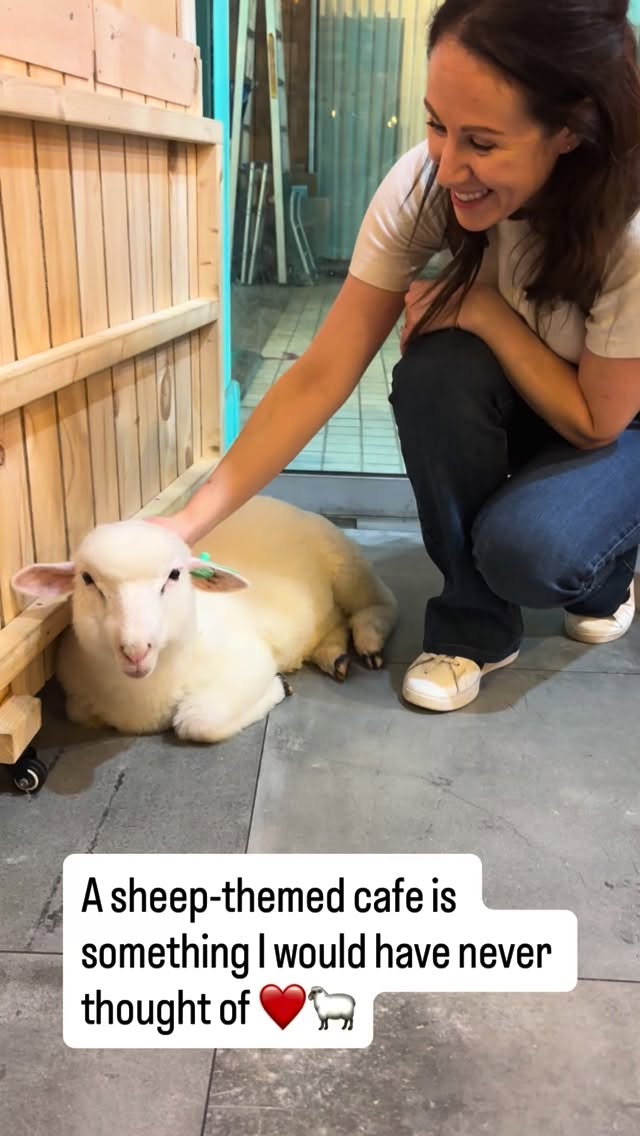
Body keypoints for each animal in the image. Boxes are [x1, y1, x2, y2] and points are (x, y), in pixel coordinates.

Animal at [12, 495, 397, 743]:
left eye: (174, 575)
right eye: (87, 580)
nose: (136, 650)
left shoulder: (249, 662)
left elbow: (198, 721)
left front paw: (279, 688)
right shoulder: (78, 700)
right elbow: (79, 712)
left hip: (345, 563)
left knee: (381, 603)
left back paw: (369, 640)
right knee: (334, 623)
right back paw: (335, 654)